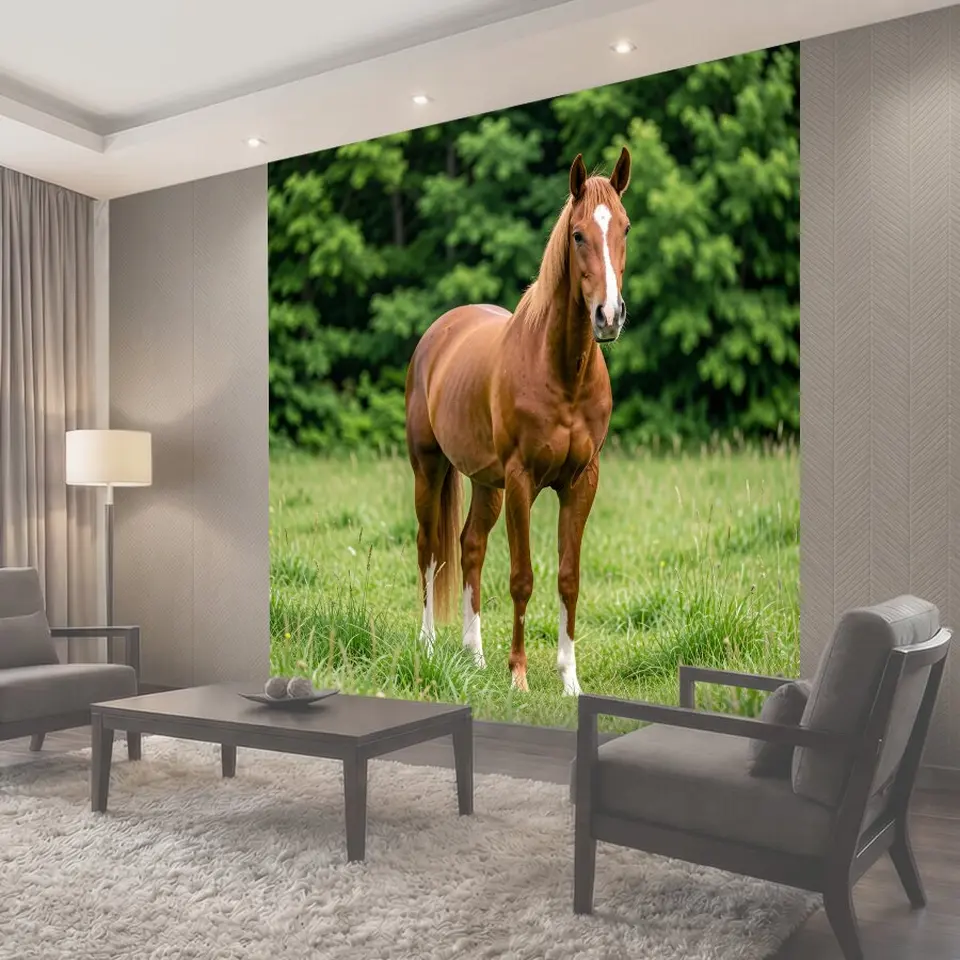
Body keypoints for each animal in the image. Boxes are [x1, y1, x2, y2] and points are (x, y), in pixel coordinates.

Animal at [404, 148, 632, 695]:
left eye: (626, 228)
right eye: (578, 234)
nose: (608, 316)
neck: (562, 373)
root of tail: (440, 331)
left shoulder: (581, 482)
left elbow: (568, 577)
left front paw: (570, 682)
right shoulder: (522, 481)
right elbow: (522, 578)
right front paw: (519, 677)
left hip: (487, 485)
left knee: (469, 546)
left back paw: (475, 655)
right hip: (430, 468)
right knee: (429, 549)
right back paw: (429, 645)